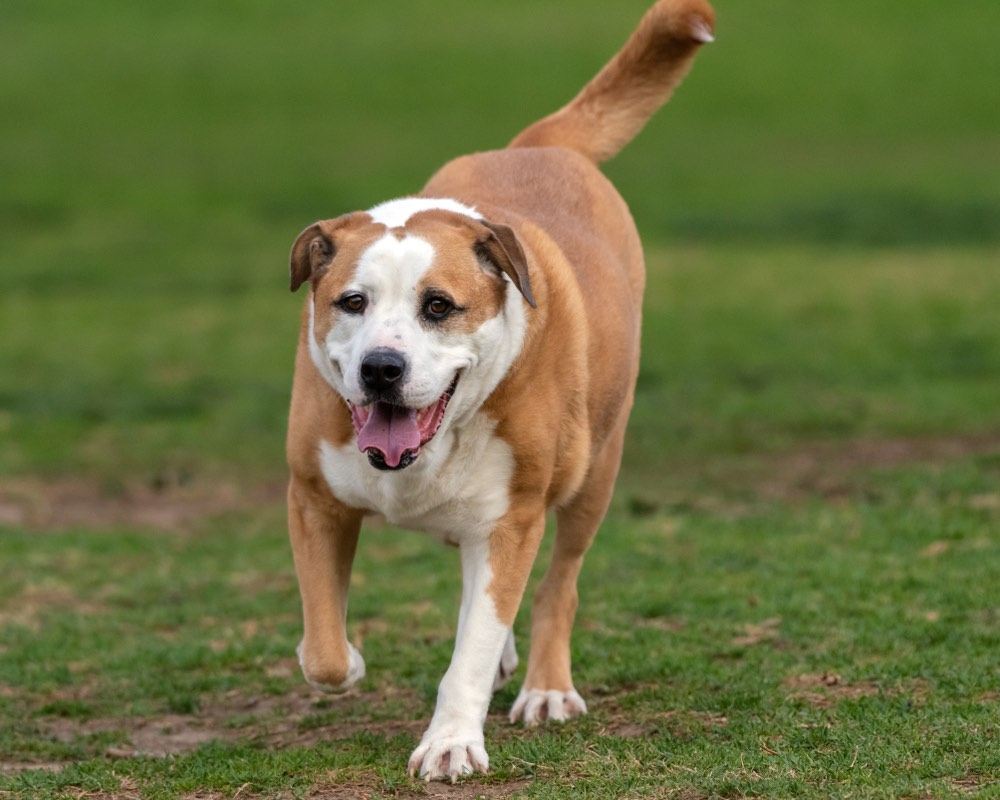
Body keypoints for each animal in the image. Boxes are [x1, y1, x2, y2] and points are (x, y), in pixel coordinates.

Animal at [286, 0, 716, 784]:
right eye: (352, 301)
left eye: (438, 306)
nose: (382, 368)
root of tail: (541, 144)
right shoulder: (314, 496)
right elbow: (324, 653)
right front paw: (349, 660)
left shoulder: (512, 518)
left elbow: (475, 645)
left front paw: (452, 740)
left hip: (593, 471)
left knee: (558, 583)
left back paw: (544, 684)